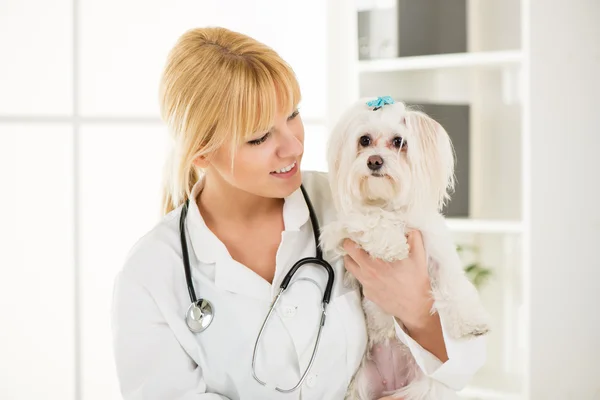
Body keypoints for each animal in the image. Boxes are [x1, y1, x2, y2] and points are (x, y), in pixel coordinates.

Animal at [322, 97, 490, 400]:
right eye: (364, 140)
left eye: (399, 141)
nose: (374, 160)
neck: (390, 206)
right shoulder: (338, 230)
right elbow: (372, 220)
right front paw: (393, 247)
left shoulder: (438, 252)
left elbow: (454, 285)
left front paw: (471, 322)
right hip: (361, 385)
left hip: (425, 386)